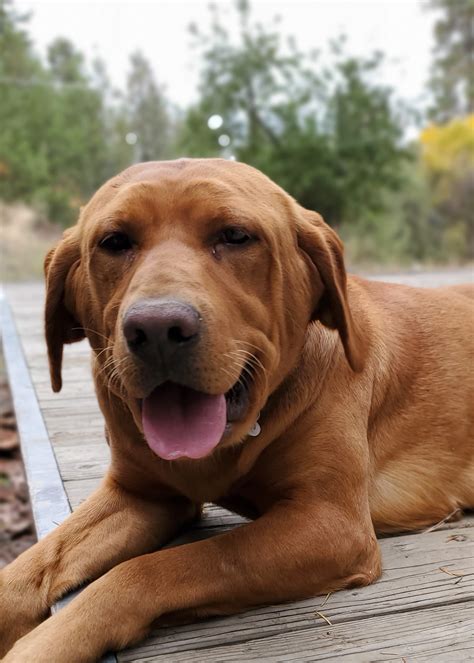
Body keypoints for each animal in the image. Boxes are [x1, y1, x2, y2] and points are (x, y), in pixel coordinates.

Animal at [1, 158, 472, 660]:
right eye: (114, 242)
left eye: (235, 236)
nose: (158, 328)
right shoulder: (142, 496)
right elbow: (33, 565)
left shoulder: (331, 523)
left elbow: (162, 566)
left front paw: (44, 643)